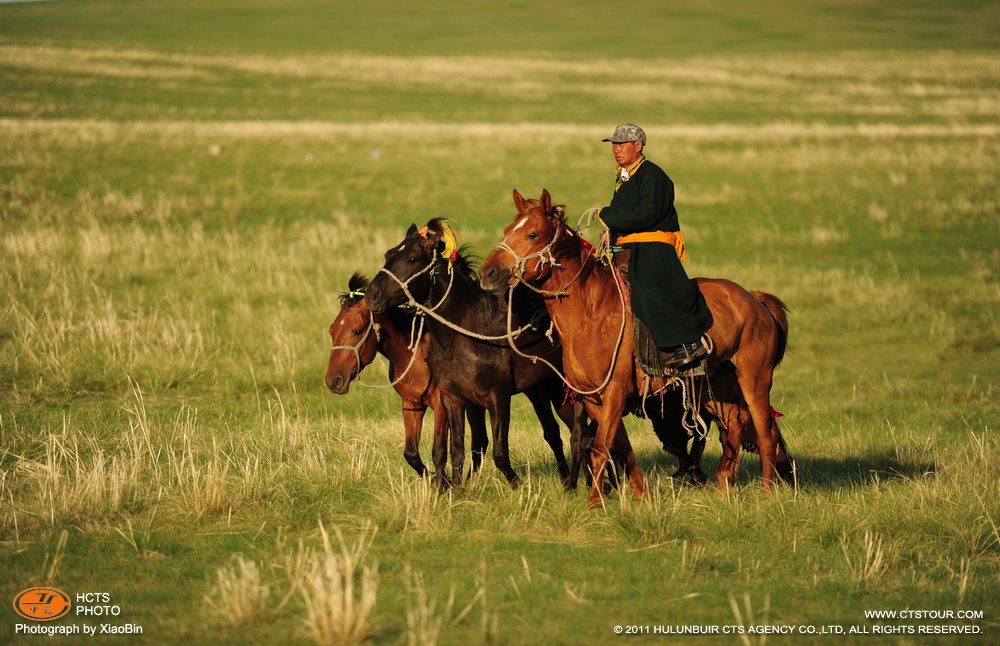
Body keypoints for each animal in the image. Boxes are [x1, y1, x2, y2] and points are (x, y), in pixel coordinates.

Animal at [480, 190, 792, 508]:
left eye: (533, 233)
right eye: (508, 230)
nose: (488, 273)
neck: (590, 312)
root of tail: (754, 299)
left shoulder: (615, 392)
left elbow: (601, 448)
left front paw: (595, 503)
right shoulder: (594, 398)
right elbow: (621, 448)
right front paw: (641, 496)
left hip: (754, 381)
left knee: (766, 435)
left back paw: (766, 494)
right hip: (715, 389)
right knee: (733, 432)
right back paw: (723, 489)